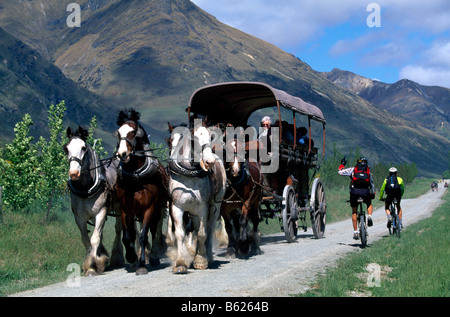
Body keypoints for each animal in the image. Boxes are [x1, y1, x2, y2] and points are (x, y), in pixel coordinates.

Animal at [63, 125, 123, 274]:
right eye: (66, 148)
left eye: (83, 147)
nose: (74, 173)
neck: (86, 189)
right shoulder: (79, 218)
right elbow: (86, 240)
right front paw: (94, 262)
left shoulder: (101, 212)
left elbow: (95, 238)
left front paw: (93, 265)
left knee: (119, 229)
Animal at [113, 109, 168, 274]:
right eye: (118, 133)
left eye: (133, 132)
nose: (122, 154)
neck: (136, 177)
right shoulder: (126, 210)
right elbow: (128, 236)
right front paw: (131, 257)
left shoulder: (149, 208)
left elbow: (144, 235)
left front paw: (142, 264)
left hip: (157, 210)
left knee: (154, 230)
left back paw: (154, 257)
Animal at [167, 122, 227, 272]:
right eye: (194, 139)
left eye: (210, 137)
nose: (209, 161)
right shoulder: (177, 207)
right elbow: (180, 233)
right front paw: (180, 263)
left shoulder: (203, 209)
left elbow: (202, 233)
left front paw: (201, 260)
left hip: (215, 207)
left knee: (209, 229)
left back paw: (208, 256)